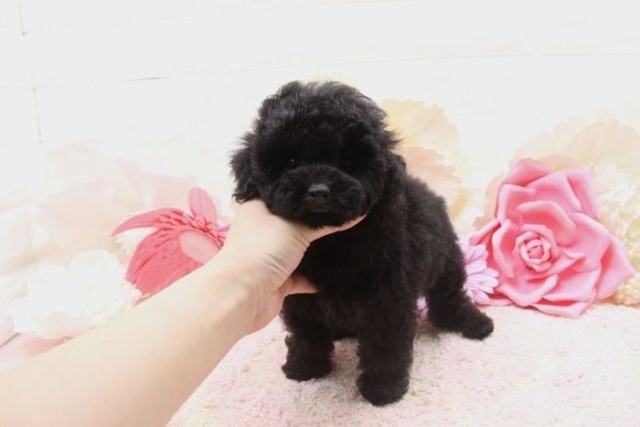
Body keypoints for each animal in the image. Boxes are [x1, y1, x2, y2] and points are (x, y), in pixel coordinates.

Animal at [230, 81, 494, 406]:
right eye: (291, 161)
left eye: (347, 161)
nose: (319, 191)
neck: (332, 242)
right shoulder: (299, 297)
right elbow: (306, 332)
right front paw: (305, 367)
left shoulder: (388, 297)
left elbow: (384, 344)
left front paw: (383, 390)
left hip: (446, 259)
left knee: (448, 295)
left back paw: (473, 323)